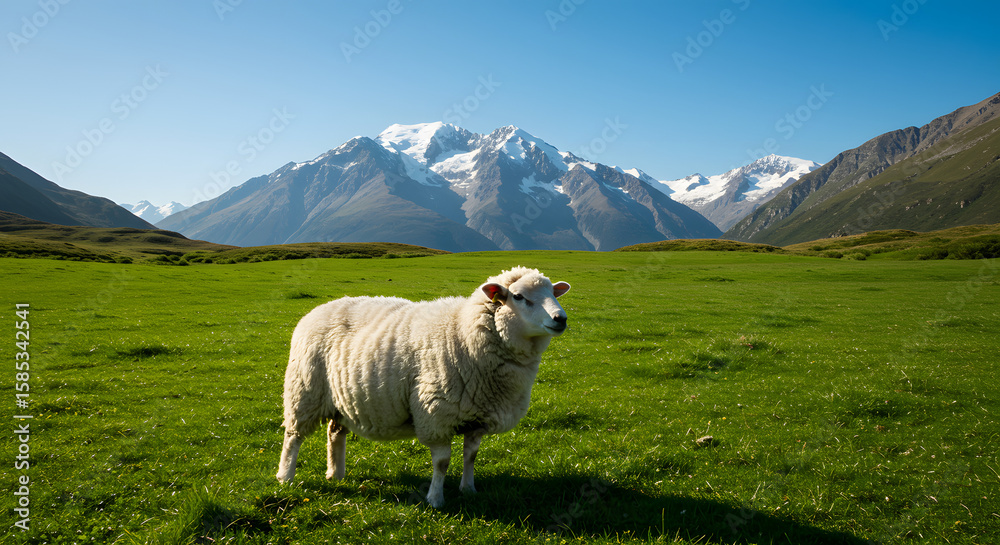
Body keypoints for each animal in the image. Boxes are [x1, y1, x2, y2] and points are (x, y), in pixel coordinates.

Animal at [275, 266, 571, 507]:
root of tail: (319, 308)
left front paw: (469, 490)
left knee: (335, 432)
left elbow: (471, 456)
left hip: (340, 398)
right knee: (293, 436)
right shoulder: (436, 413)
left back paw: (336, 474)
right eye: (518, 297)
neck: (464, 333)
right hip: (305, 389)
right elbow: (442, 462)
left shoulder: (477, 417)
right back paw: (285, 477)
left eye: (553, 293)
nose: (561, 319)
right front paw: (435, 499)